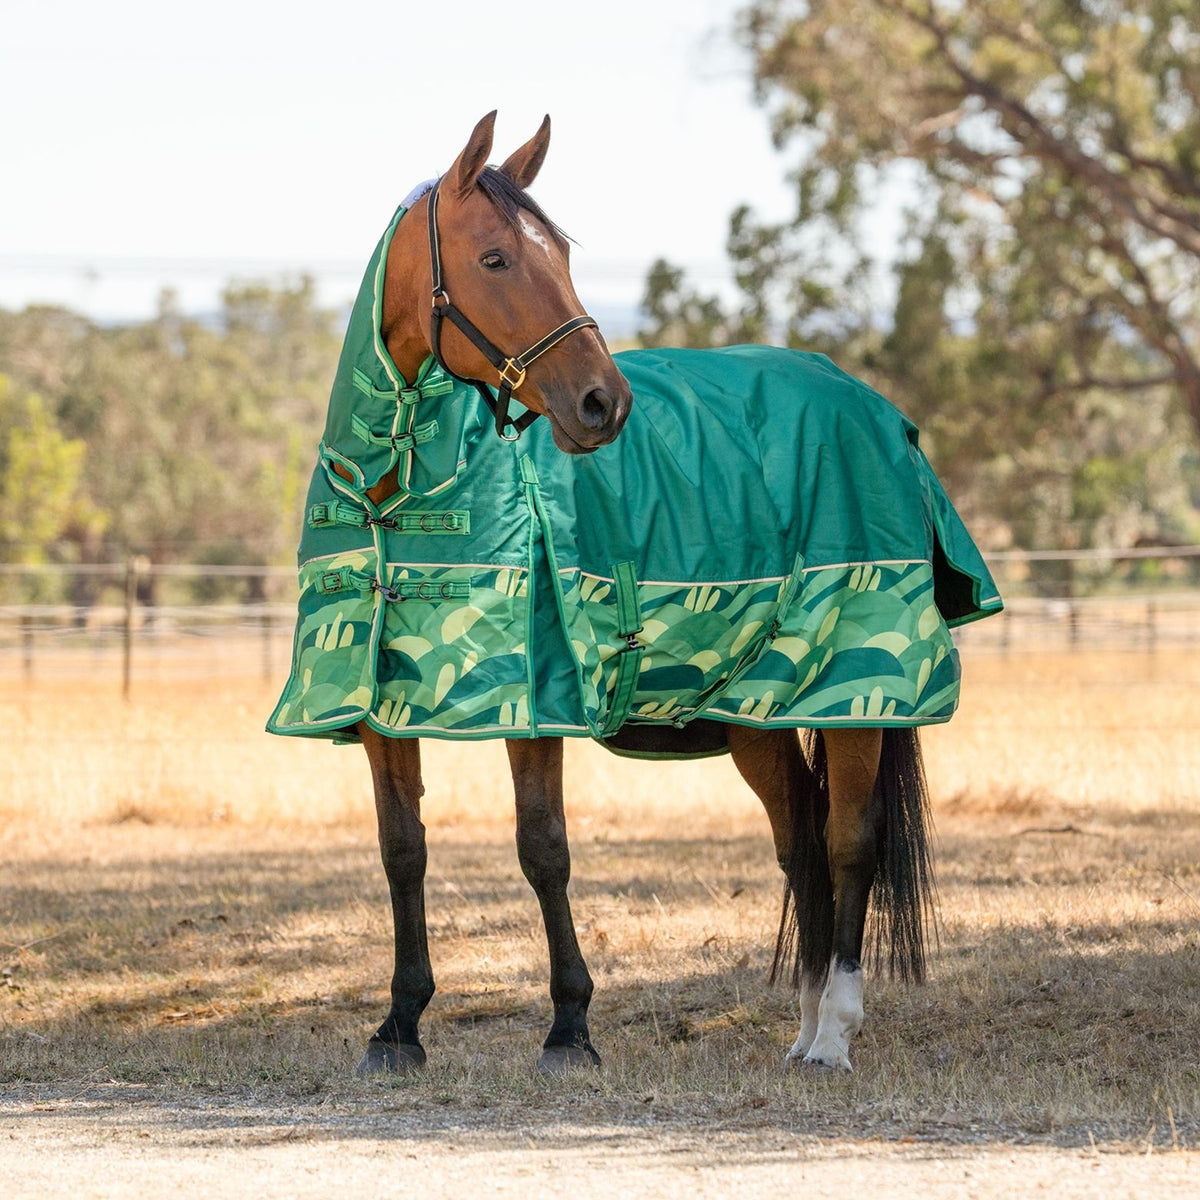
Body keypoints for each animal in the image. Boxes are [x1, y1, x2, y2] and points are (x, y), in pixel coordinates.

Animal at [268, 112, 1003, 1075]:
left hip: (852, 690)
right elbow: (403, 852)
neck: (400, 489)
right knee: (800, 844)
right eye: (496, 258)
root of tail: (877, 411)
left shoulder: (535, 697)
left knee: (849, 843)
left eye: (564, 257)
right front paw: (399, 1025)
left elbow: (542, 849)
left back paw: (836, 1032)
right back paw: (805, 1026)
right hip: (759, 709)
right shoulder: (382, 708)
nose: (602, 404)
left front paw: (570, 1028)